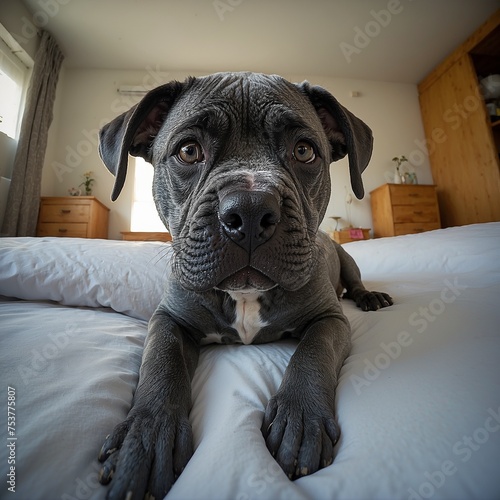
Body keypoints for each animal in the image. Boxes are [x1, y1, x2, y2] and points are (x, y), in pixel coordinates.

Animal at [97, 71, 392, 500]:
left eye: (304, 151)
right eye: (189, 151)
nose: (250, 209)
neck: (246, 295)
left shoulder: (330, 320)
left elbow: (313, 353)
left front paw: (300, 418)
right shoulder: (168, 319)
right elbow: (161, 365)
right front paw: (147, 438)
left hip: (347, 262)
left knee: (354, 284)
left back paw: (371, 296)